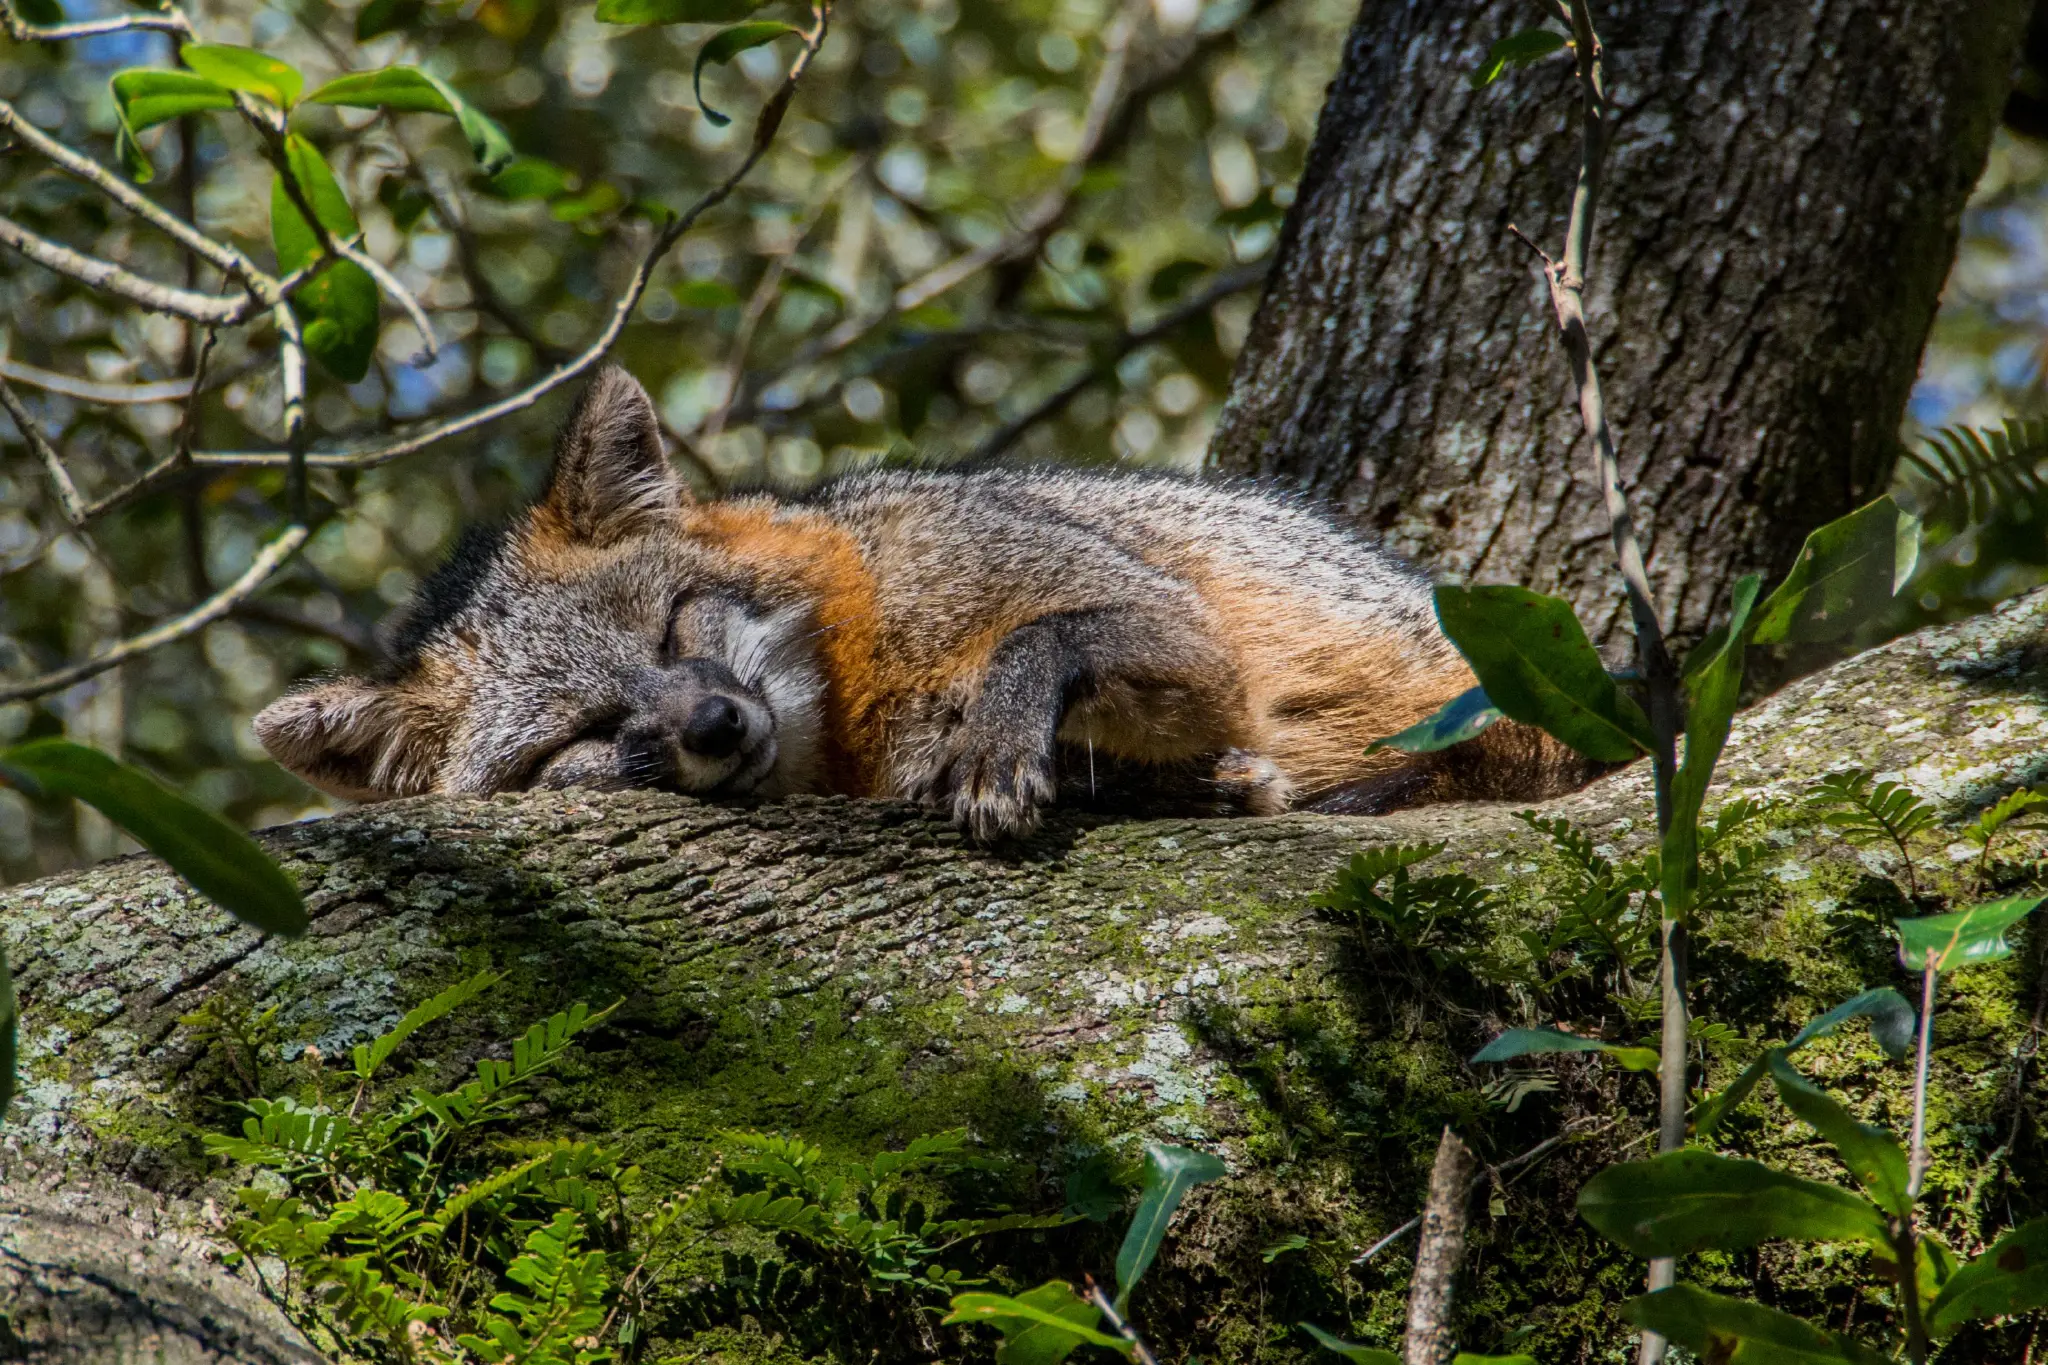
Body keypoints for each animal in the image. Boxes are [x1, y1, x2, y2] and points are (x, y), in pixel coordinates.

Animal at [254, 367, 1590, 840]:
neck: (865, 690)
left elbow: (1047, 636)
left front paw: (1000, 741)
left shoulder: (1177, 635)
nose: (714, 725)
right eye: (579, 737)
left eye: (674, 625)